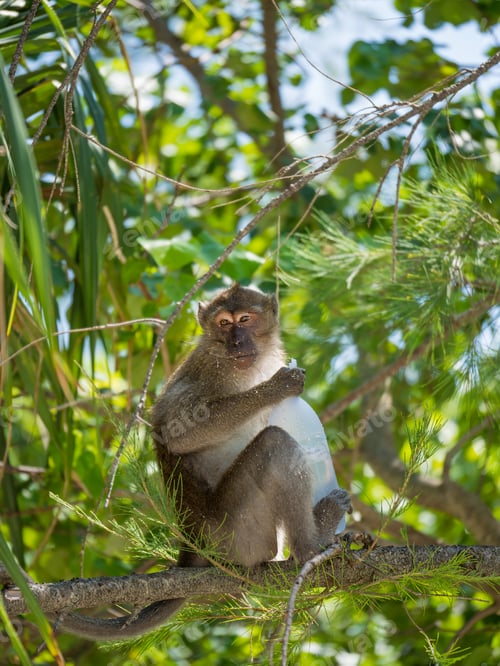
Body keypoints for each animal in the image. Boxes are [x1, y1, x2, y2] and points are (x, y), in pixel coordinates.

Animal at [53, 284, 351, 640]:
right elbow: (177, 432)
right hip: (236, 534)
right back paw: (311, 545)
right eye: (224, 323)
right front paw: (275, 388)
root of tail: (193, 542)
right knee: (274, 443)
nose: (236, 341)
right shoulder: (210, 371)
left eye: (245, 319)